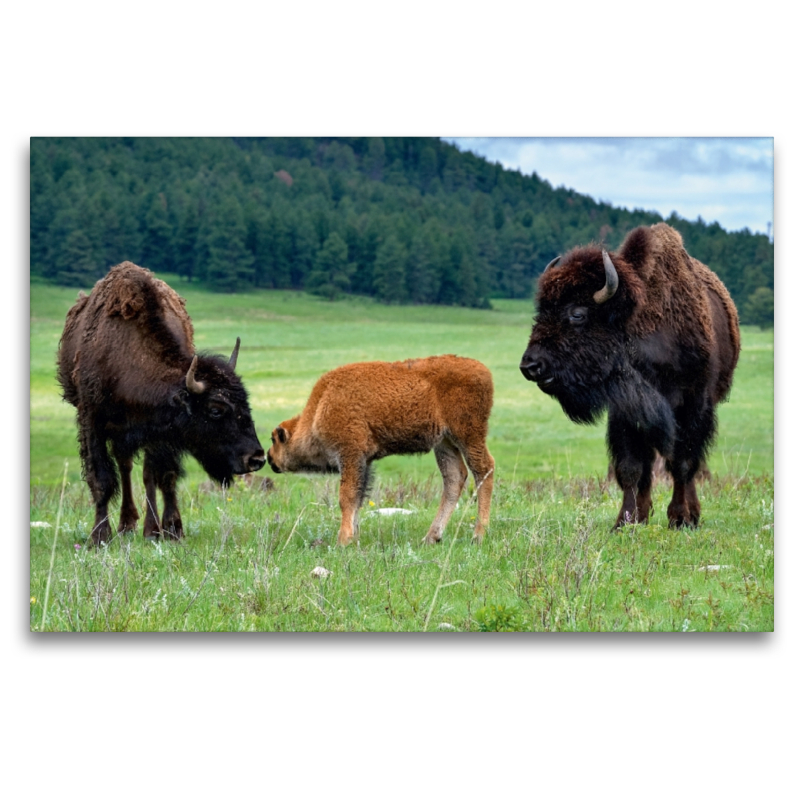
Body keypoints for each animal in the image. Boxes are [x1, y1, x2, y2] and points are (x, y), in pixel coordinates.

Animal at [57, 262, 268, 544]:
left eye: (246, 403)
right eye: (215, 410)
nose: (256, 458)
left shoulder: (162, 432)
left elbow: (162, 477)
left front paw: (169, 530)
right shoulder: (92, 421)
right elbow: (101, 480)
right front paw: (99, 536)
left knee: (141, 472)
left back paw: (142, 527)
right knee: (124, 469)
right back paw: (126, 526)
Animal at [268, 354, 494, 544]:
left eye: (274, 440)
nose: (269, 458)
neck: (320, 407)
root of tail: (484, 370)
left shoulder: (350, 454)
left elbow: (347, 497)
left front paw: (343, 539)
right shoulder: (364, 461)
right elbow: (358, 497)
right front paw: (354, 537)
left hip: (468, 436)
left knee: (484, 469)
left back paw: (478, 535)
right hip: (445, 443)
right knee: (455, 478)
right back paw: (431, 537)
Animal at [520, 222, 740, 528]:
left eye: (577, 314)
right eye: (540, 312)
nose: (530, 365)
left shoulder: (693, 404)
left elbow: (682, 462)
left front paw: (679, 518)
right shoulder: (626, 411)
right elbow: (630, 467)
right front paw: (625, 521)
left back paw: (691, 515)